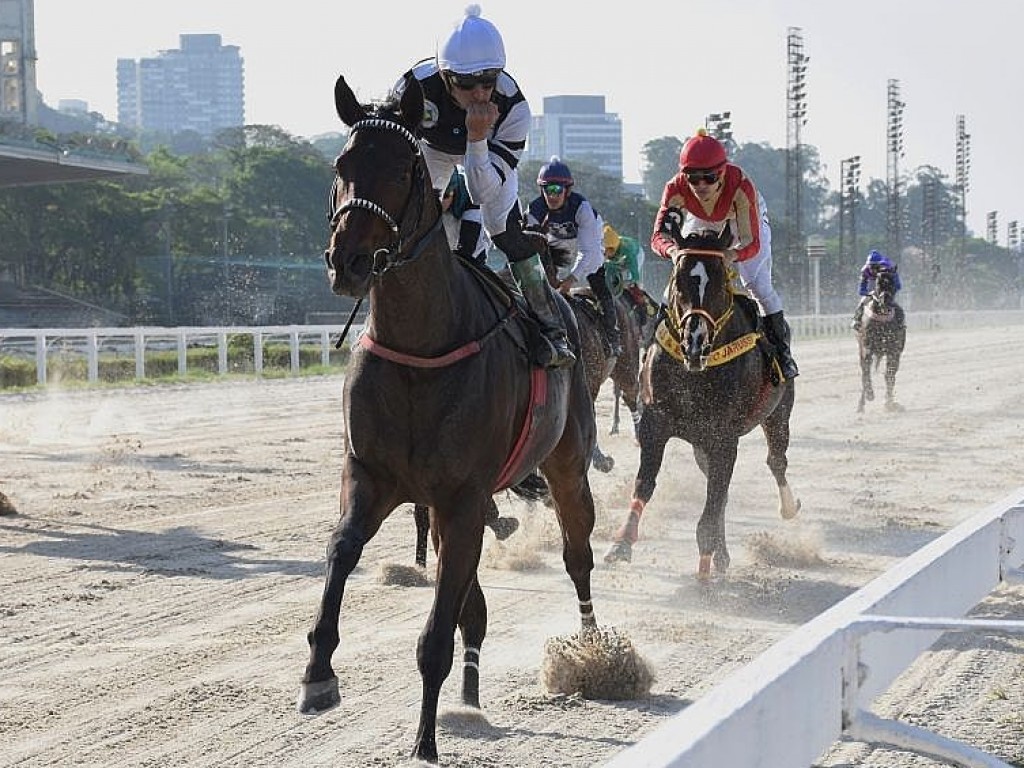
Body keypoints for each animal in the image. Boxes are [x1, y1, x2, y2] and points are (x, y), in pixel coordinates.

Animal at [296, 76, 598, 765]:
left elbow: (436, 631)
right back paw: (472, 686)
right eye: (341, 166)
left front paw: (425, 741)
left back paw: (597, 649)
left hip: (567, 463)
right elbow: (341, 549)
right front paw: (319, 673)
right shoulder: (374, 478)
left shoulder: (462, 498)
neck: (422, 344)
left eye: (404, 170)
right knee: (474, 603)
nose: (349, 262)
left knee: (578, 555)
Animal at [598, 237, 798, 581]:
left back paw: (787, 508)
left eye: (718, 287)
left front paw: (704, 569)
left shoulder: (724, 438)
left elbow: (714, 499)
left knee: (776, 461)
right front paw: (621, 544)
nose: (695, 341)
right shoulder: (656, 423)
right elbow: (645, 484)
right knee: (721, 489)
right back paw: (722, 554)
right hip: (700, 443)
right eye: (678, 284)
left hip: (778, 414)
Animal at [856, 270, 905, 415]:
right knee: (865, 372)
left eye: (892, 281)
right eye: (878, 282)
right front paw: (870, 394)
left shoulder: (894, 351)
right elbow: (866, 374)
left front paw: (889, 403)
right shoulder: (866, 348)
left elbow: (889, 376)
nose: (886, 300)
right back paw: (861, 404)